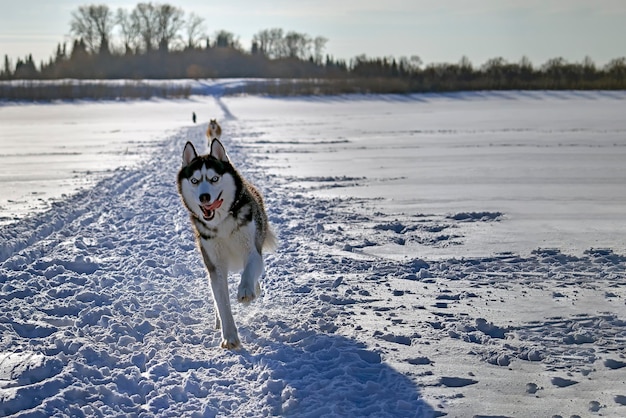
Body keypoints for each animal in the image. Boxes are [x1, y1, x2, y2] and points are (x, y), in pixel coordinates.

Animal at [176, 139, 272, 348]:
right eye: (194, 181)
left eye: (214, 178)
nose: (204, 197)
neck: (221, 224)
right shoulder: (214, 264)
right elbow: (222, 302)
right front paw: (229, 336)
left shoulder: (252, 248)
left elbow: (250, 269)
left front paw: (246, 290)